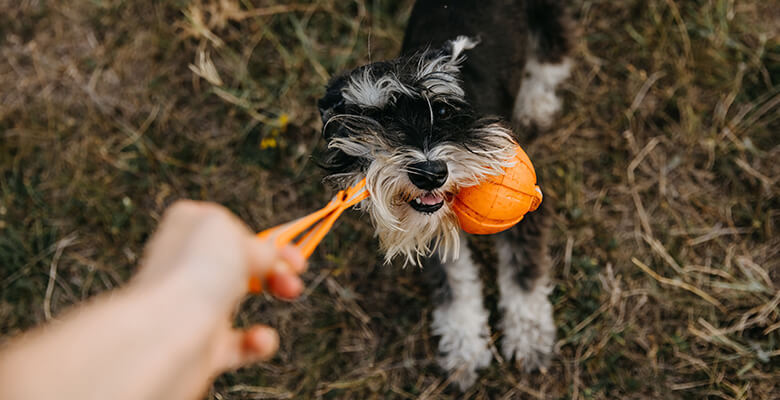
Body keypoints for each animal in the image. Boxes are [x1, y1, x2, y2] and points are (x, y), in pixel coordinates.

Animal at [316, 0, 572, 388]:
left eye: (442, 108)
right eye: (378, 117)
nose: (430, 173)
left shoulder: (527, 212)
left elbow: (523, 276)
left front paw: (530, 338)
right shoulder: (428, 229)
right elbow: (456, 285)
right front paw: (465, 349)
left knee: (553, 52)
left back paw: (536, 103)